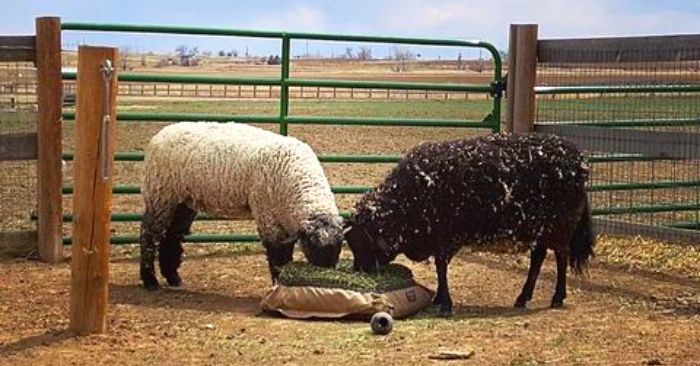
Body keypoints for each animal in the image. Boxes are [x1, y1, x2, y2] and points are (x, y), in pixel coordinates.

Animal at [139, 121, 342, 290]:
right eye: (314, 247)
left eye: (338, 248)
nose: (326, 275)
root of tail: (160, 134)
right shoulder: (266, 213)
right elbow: (278, 253)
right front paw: (277, 285)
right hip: (161, 194)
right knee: (148, 234)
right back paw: (150, 281)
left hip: (183, 201)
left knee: (172, 236)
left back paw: (173, 278)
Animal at [348, 133, 592, 316]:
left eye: (361, 242)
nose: (359, 270)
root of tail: (578, 159)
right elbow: (440, 269)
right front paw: (439, 298)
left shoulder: (445, 238)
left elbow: (441, 267)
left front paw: (445, 303)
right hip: (540, 228)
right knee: (539, 257)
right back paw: (523, 297)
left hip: (559, 225)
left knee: (561, 255)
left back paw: (557, 297)